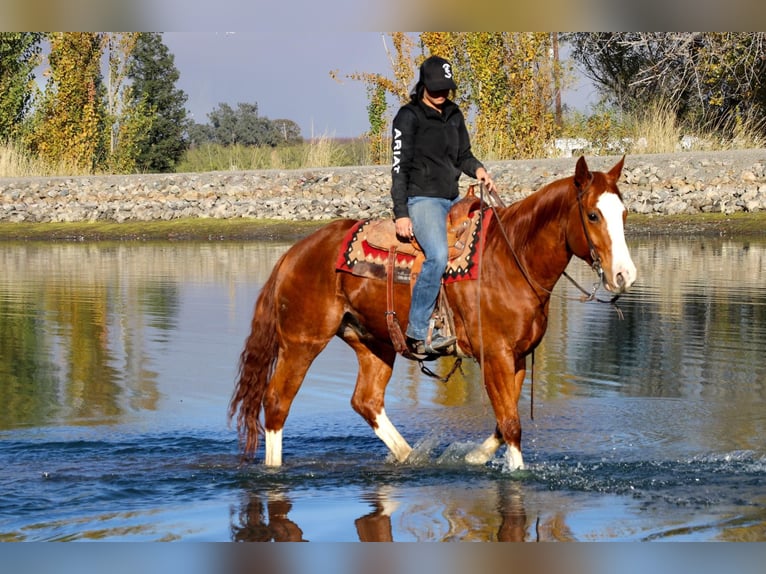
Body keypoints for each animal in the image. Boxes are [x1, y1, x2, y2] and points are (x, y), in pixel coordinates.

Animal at [228, 155, 636, 470]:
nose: (624, 275)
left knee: (366, 401)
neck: (510, 259)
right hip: (302, 342)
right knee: (276, 403)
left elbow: (503, 423)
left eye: (624, 213)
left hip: (374, 343)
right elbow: (511, 424)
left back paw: (410, 456)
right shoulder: (496, 357)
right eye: (593, 215)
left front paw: (472, 457)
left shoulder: (518, 357)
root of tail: (293, 253)